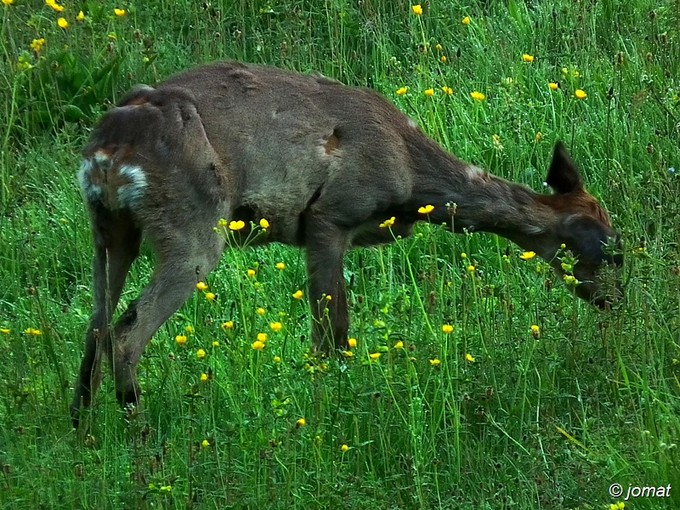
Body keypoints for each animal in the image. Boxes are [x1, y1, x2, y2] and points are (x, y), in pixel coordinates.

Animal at [71, 59, 624, 426]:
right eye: (612, 249)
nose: (615, 303)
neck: (411, 179)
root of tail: (108, 151)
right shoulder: (329, 217)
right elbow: (333, 336)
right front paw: (335, 405)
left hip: (110, 231)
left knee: (96, 323)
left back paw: (84, 427)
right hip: (193, 226)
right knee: (127, 330)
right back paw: (138, 428)